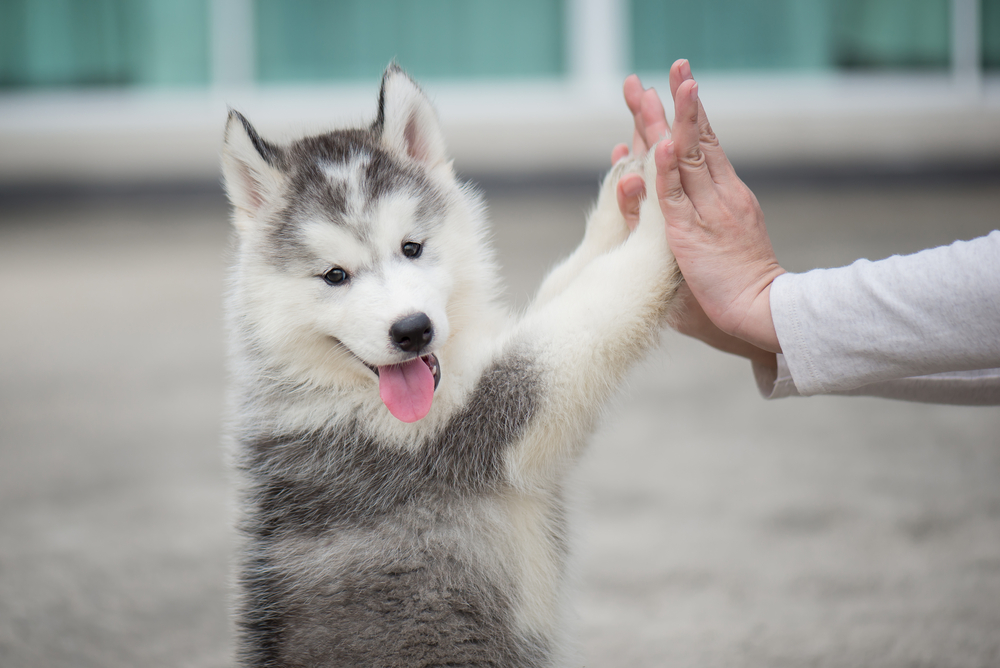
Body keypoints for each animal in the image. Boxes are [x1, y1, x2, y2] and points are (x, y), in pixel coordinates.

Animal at [223, 64, 684, 668]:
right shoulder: (485, 419)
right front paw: (665, 203)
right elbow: (594, 305)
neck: (337, 388)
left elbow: (570, 282)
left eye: (412, 248)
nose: (412, 329)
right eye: (334, 276)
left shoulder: (495, 353)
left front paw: (623, 196)